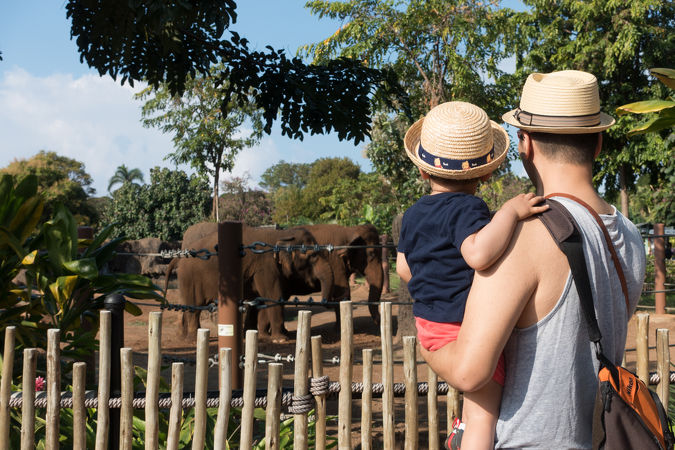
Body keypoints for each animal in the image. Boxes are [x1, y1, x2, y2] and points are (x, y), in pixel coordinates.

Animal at [163, 225, 332, 342]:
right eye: (312, 256)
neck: (282, 234)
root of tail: (180, 255)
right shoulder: (265, 268)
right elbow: (273, 297)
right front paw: (281, 339)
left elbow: (263, 300)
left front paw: (263, 337)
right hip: (190, 278)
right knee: (194, 307)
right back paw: (192, 339)